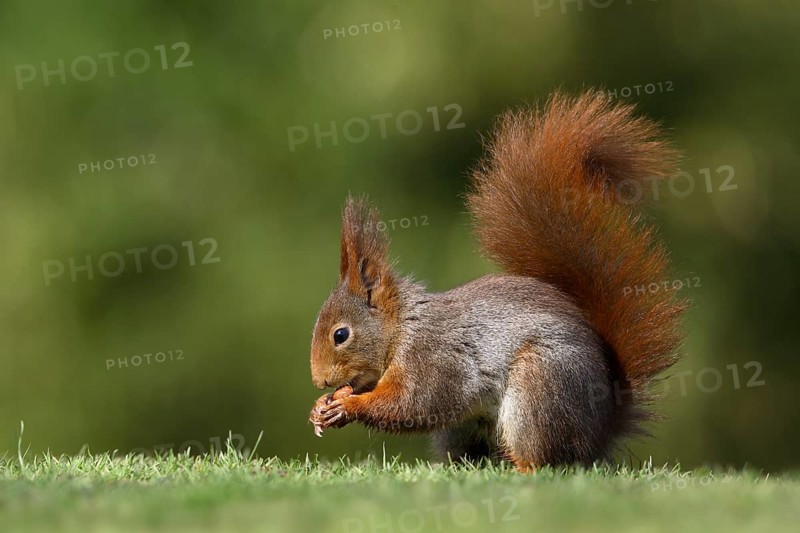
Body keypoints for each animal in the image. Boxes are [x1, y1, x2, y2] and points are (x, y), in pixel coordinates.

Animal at [308, 90, 686, 470]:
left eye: (340, 335)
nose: (319, 380)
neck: (402, 327)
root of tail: (601, 430)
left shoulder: (433, 358)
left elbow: (414, 403)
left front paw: (348, 405)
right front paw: (321, 408)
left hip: (538, 391)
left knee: (546, 459)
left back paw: (520, 468)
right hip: (464, 429)